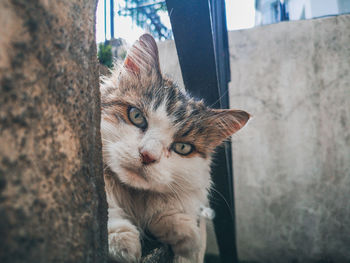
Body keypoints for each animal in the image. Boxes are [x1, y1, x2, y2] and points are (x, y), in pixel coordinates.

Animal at [100, 34, 250, 262]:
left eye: (182, 147)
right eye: (136, 116)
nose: (147, 156)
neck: (131, 198)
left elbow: (165, 209)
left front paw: (186, 237)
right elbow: (106, 205)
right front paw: (122, 243)